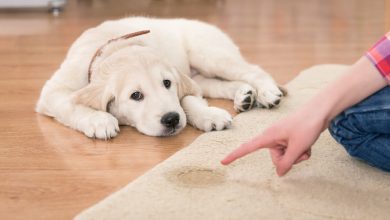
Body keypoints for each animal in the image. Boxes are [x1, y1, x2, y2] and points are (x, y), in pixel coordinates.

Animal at [35, 17, 284, 138]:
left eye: (167, 83)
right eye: (136, 95)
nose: (171, 119)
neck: (115, 47)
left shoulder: (182, 81)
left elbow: (187, 100)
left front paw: (208, 115)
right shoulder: (53, 91)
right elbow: (71, 104)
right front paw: (99, 120)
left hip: (209, 55)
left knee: (253, 70)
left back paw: (267, 92)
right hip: (202, 75)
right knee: (219, 85)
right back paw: (245, 96)